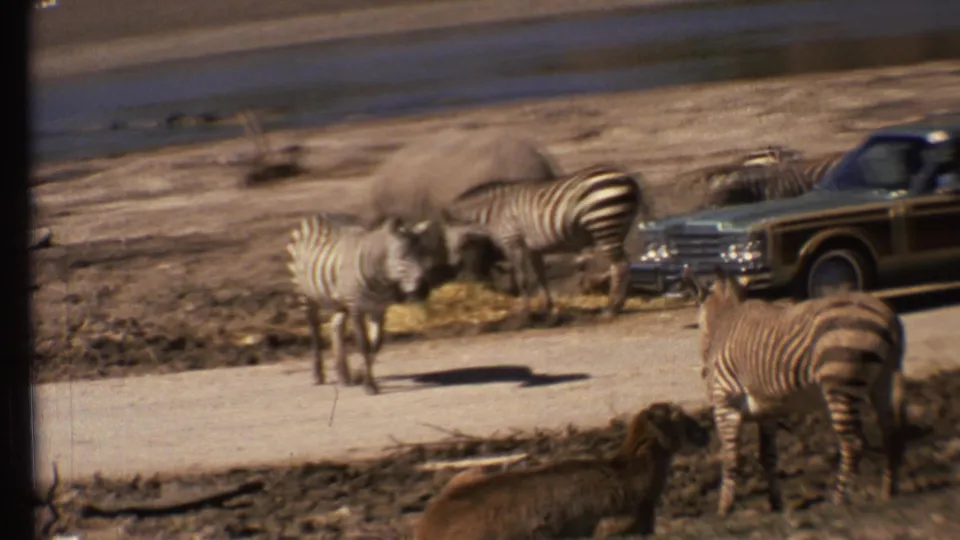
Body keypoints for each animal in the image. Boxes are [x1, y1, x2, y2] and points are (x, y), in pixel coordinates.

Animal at [286, 214, 442, 395]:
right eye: (402, 257)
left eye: (424, 256)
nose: (424, 289)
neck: (380, 278)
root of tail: (315, 216)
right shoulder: (356, 308)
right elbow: (363, 345)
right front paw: (369, 385)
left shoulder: (379, 309)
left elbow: (375, 344)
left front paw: (360, 375)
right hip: (305, 294)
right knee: (314, 332)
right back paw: (318, 375)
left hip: (340, 301)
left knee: (336, 326)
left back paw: (344, 375)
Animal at [441, 163, 651, 320]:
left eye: (445, 235)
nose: (452, 263)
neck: (492, 213)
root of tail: (628, 178)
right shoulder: (533, 248)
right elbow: (541, 276)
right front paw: (546, 310)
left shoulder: (513, 242)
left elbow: (523, 279)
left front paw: (524, 315)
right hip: (617, 227)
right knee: (625, 264)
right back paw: (619, 305)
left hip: (604, 224)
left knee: (619, 266)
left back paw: (611, 309)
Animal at [680, 265, 906, 517]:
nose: (703, 374)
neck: (723, 321)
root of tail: (888, 315)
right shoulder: (766, 411)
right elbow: (767, 456)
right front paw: (775, 504)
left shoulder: (725, 403)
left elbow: (730, 457)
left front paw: (723, 509)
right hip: (883, 380)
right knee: (890, 434)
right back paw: (888, 494)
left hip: (839, 383)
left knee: (853, 443)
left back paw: (838, 501)